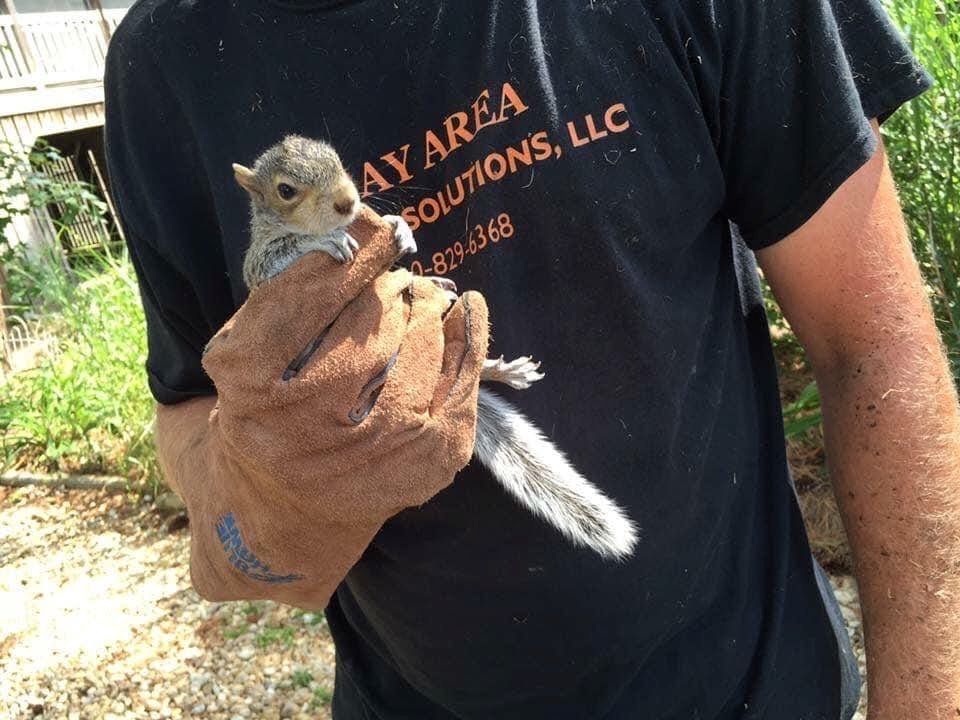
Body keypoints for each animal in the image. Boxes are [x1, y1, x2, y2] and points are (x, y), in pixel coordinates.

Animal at [232, 135, 638, 560]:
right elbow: (282, 253)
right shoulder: (261, 271)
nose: (347, 201)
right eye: (286, 190)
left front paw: (399, 226)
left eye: (337, 159)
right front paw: (324, 239)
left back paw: (495, 364)